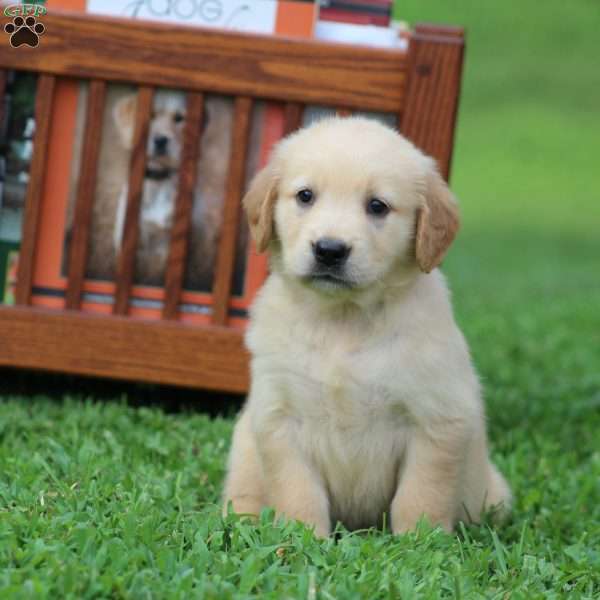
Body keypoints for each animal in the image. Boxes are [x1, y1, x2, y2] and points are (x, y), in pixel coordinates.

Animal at [223, 116, 512, 536]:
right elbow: (298, 491)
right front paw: (301, 539)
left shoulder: (438, 418)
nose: (329, 250)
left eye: (378, 206)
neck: (344, 320)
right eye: (305, 196)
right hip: (244, 448)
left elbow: (420, 494)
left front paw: (419, 543)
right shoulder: (277, 418)